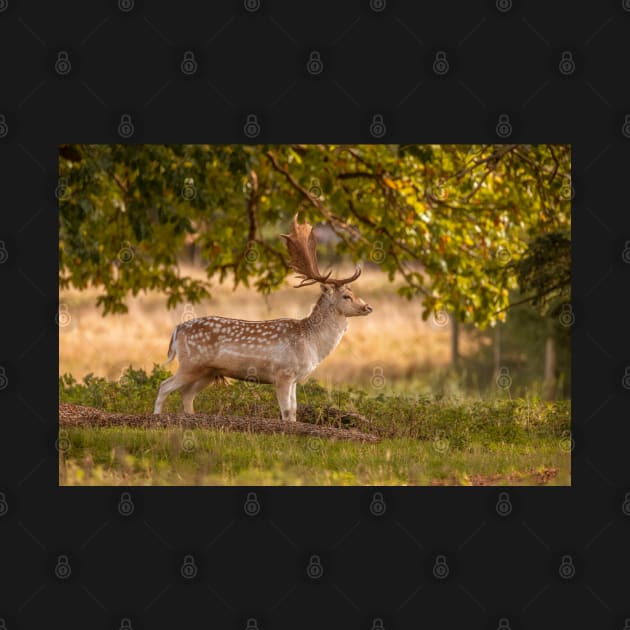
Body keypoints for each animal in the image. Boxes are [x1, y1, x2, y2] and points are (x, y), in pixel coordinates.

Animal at [154, 217, 376, 424]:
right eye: (346, 296)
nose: (368, 307)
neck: (310, 342)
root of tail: (177, 329)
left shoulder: (294, 379)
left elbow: (294, 412)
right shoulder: (283, 373)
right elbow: (286, 412)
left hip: (208, 372)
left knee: (186, 394)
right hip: (191, 363)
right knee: (164, 386)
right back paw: (156, 418)